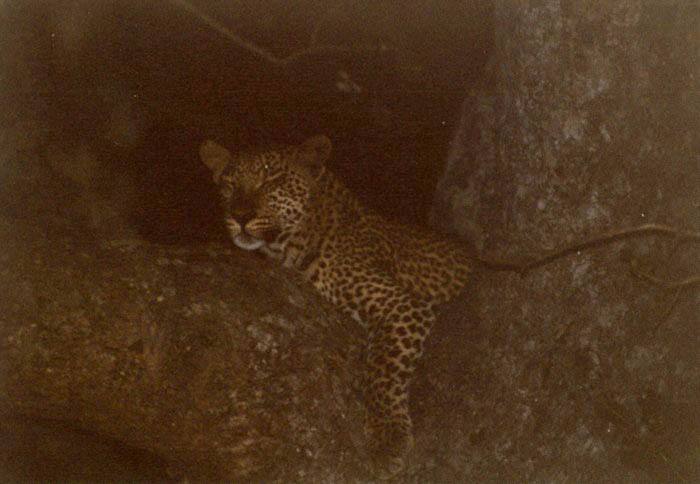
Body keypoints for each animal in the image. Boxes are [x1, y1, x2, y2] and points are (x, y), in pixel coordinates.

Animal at [200, 133, 476, 480]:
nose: (239, 216)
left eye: (272, 180)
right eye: (229, 183)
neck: (290, 243)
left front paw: (387, 438)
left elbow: (383, 371)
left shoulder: (403, 303)